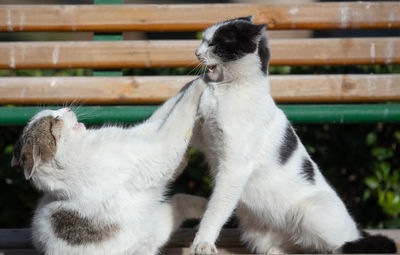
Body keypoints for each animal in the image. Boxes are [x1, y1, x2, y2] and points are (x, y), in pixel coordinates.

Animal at [10, 78, 208, 255]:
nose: (68, 108)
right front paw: (201, 81)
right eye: (56, 119)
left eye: (56, 113)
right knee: (180, 202)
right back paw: (205, 207)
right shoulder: (155, 152)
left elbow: (164, 112)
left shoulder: (138, 135)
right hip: (155, 223)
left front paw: (188, 83)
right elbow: (179, 117)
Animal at [189, 15, 396, 255]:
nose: (196, 52)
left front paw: (202, 243)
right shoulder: (204, 139)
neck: (226, 89)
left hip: (311, 213)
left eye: (214, 43)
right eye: (203, 40)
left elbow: (215, 210)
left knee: (348, 245)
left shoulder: (234, 169)